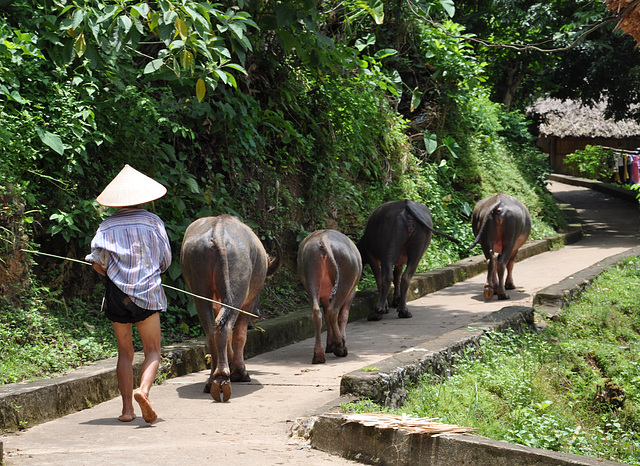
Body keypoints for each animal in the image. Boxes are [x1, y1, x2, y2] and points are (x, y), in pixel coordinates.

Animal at [180, 215, 280, 400]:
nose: (257, 314)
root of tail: (217, 230)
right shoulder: (249, 302)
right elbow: (239, 334)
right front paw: (239, 372)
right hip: (237, 291)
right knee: (226, 326)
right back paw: (223, 377)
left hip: (199, 292)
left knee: (213, 329)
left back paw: (213, 379)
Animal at [298, 229, 362, 364]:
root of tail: (324, 238)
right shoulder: (352, 291)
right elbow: (343, 316)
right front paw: (337, 343)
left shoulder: (324, 296)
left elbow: (326, 316)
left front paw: (329, 345)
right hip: (345, 284)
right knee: (334, 312)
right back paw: (340, 346)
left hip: (311, 279)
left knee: (317, 312)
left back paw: (319, 353)